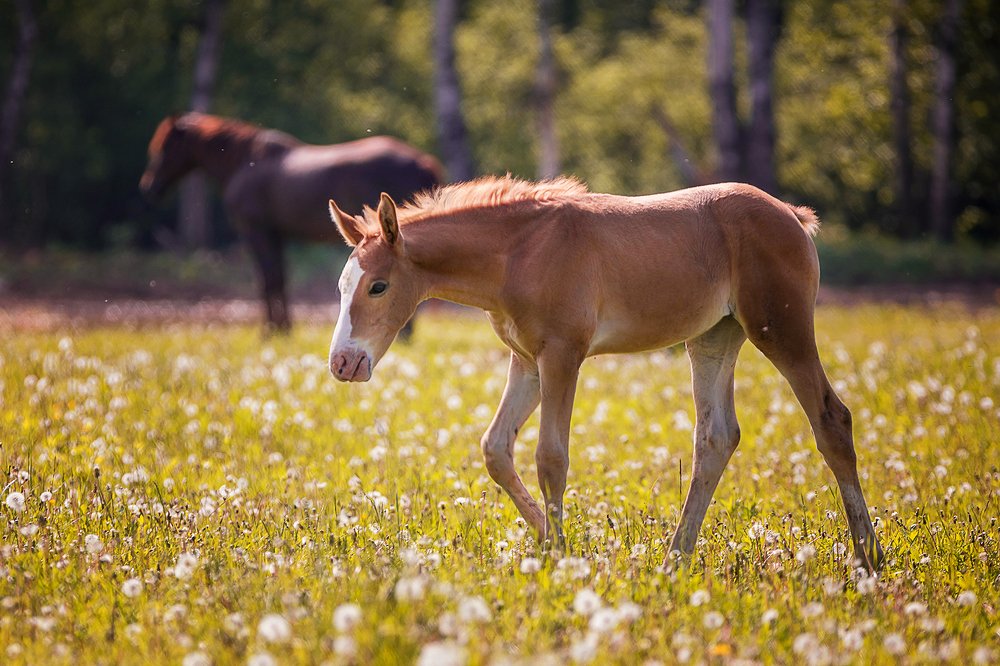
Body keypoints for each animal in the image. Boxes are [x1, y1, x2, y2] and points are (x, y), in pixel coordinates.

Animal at [139, 112, 442, 332]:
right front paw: (282, 327)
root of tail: (423, 161)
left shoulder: (257, 230)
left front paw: (274, 329)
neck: (244, 162)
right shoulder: (277, 234)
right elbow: (279, 278)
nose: (149, 187)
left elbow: (268, 279)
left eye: (164, 148)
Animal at [325, 175, 884, 570]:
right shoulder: (526, 360)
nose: (343, 363)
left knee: (831, 419)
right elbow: (495, 448)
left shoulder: (562, 354)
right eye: (341, 285)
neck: (518, 252)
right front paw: (550, 544)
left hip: (781, 329)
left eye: (378, 286)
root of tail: (791, 215)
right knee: (717, 437)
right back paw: (675, 559)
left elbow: (550, 457)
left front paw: (562, 555)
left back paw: (867, 556)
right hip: (713, 339)